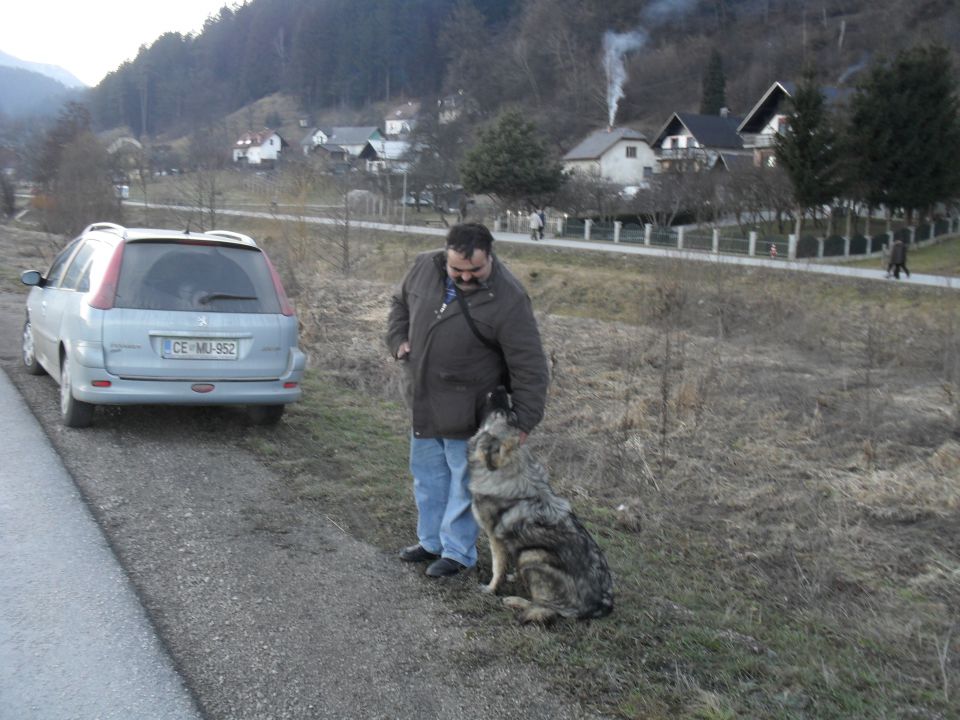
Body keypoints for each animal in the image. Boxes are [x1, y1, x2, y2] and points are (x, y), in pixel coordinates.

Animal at [466, 388, 616, 624]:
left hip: (532, 555)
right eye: (509, 411)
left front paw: (490, 589)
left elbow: (497, 568)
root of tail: (601, 606)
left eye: (503, 412)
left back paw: (515, 601)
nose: (501, 388)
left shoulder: (495, 537)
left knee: (548, 608)